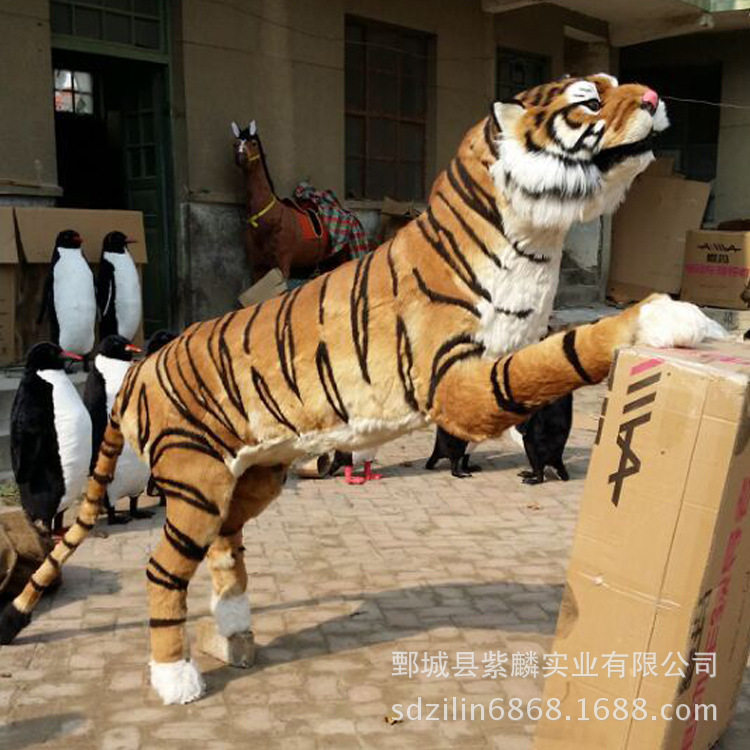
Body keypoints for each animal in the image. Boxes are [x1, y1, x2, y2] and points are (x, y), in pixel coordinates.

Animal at [0, 74, 725, 705]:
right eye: (587, 100)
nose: (655, 98)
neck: (533, 238)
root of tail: (141, 369)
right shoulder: (462, 384)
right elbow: (566, 353)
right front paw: (672, 317)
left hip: (250, 476)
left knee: (226, 546)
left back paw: (236, 633)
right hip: (196, 479)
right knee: (162, 568)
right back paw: (176, 679)